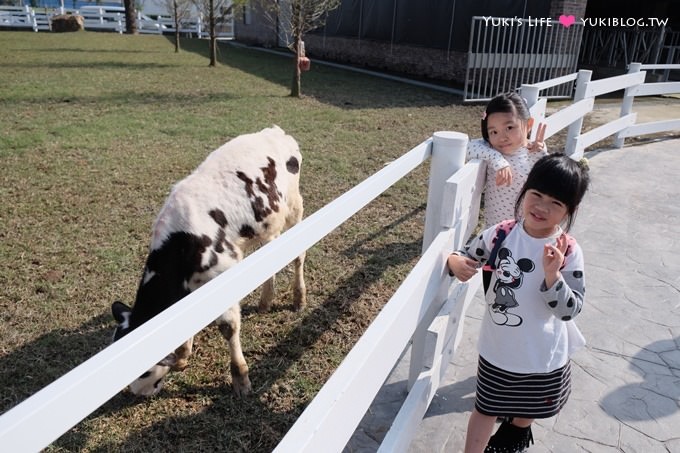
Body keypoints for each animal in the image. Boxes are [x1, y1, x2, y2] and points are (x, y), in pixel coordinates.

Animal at [111, 124, 306, 396]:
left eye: (144, 371)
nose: (138, 393)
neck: (181, 243)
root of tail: (275, 131)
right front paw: (182, 355)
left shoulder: (222, 274)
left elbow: (228, 328)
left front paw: (241, 380)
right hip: (269, 225)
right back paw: (265, 301)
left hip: (294, 208)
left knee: (298, 255)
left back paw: (299, 298)